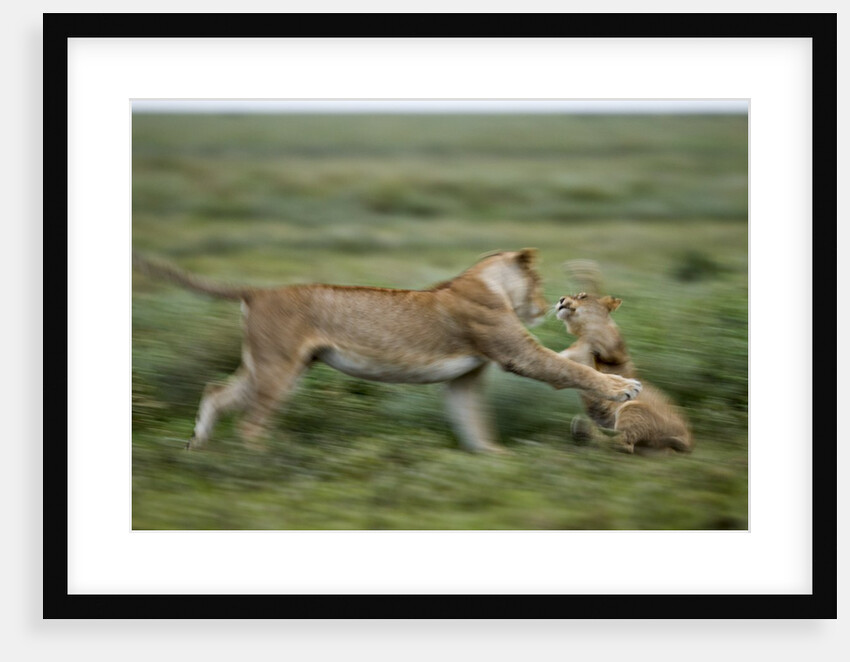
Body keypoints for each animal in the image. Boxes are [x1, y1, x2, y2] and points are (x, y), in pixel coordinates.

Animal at [133, 249, 641, 452]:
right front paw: (623, 386)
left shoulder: (464, 378)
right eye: (536, 281)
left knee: (217, 391)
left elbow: (472, 420)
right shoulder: (517, 352)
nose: (548, 303)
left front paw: (494, 458)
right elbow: (569, 369)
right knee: (252, 423)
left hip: (276, 365)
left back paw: (196, 449)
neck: (482, 280)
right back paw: (261, 464)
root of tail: (258, 291)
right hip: (278, 368)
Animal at [556, 292, 692, 454]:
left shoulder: (619, 356)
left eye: (583, 296)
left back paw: (584, 430)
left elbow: (604, 348)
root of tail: (689, 439)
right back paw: (583, 429)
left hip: (632, 407)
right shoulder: (567, 356)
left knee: (623, 444)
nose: (561, 299)